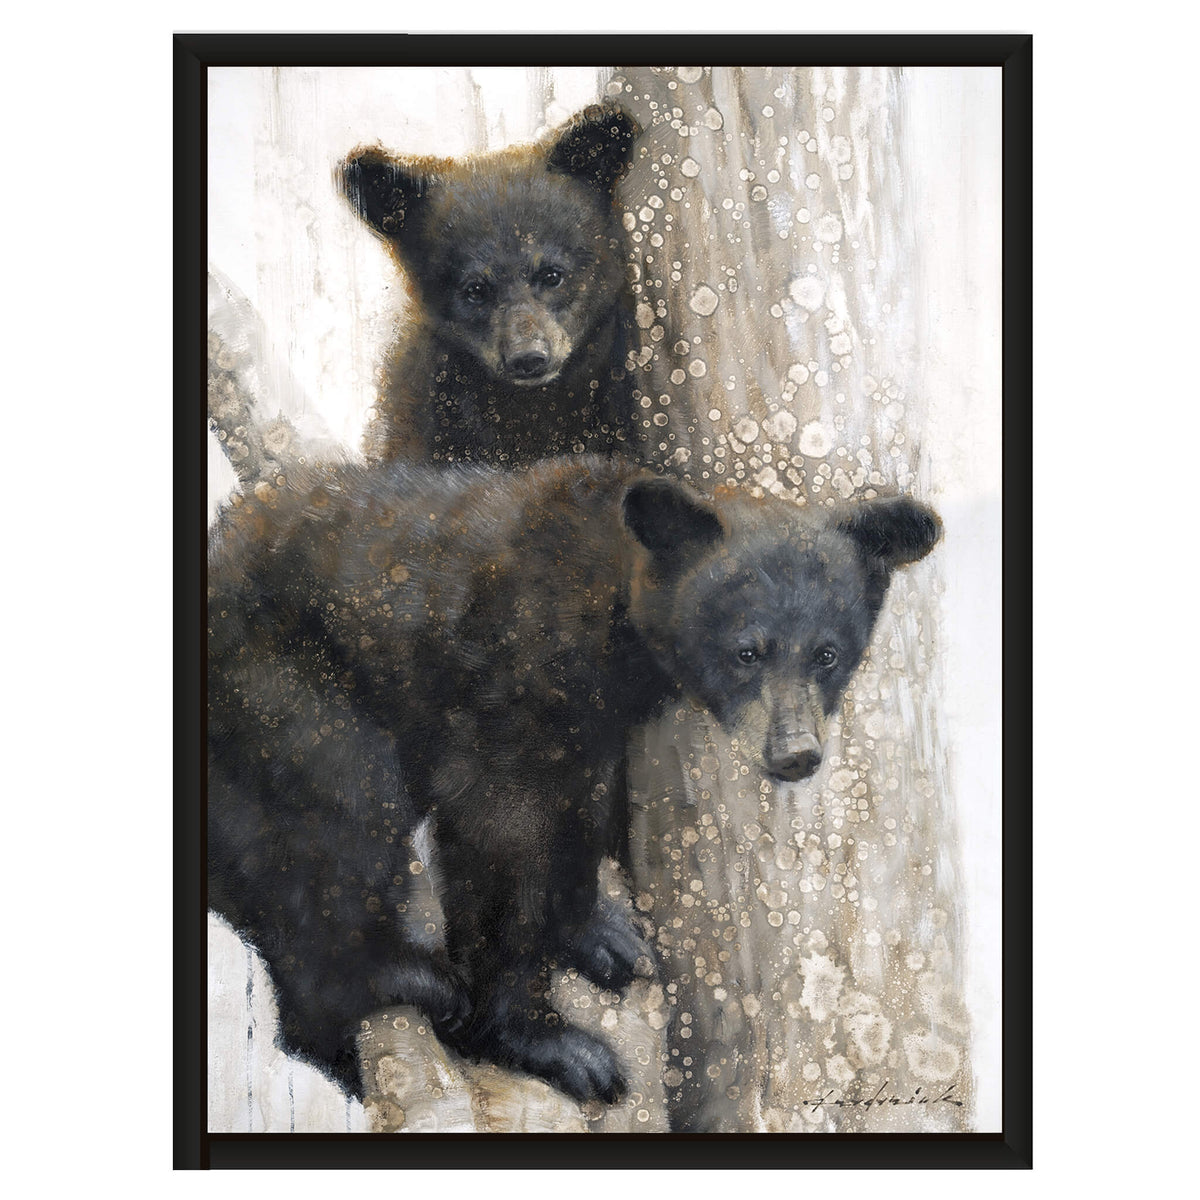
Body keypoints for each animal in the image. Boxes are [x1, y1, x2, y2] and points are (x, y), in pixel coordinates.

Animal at [207, 455, 941, 1103]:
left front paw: (603, 935)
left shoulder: (589, 727)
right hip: (285, 692)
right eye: (746, 651)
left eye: (828, 653)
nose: (795, 753)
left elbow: (579, 807)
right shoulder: (504, 691)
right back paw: (398, 978)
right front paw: (551, 1044)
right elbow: (500, 839)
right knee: (340, 818)